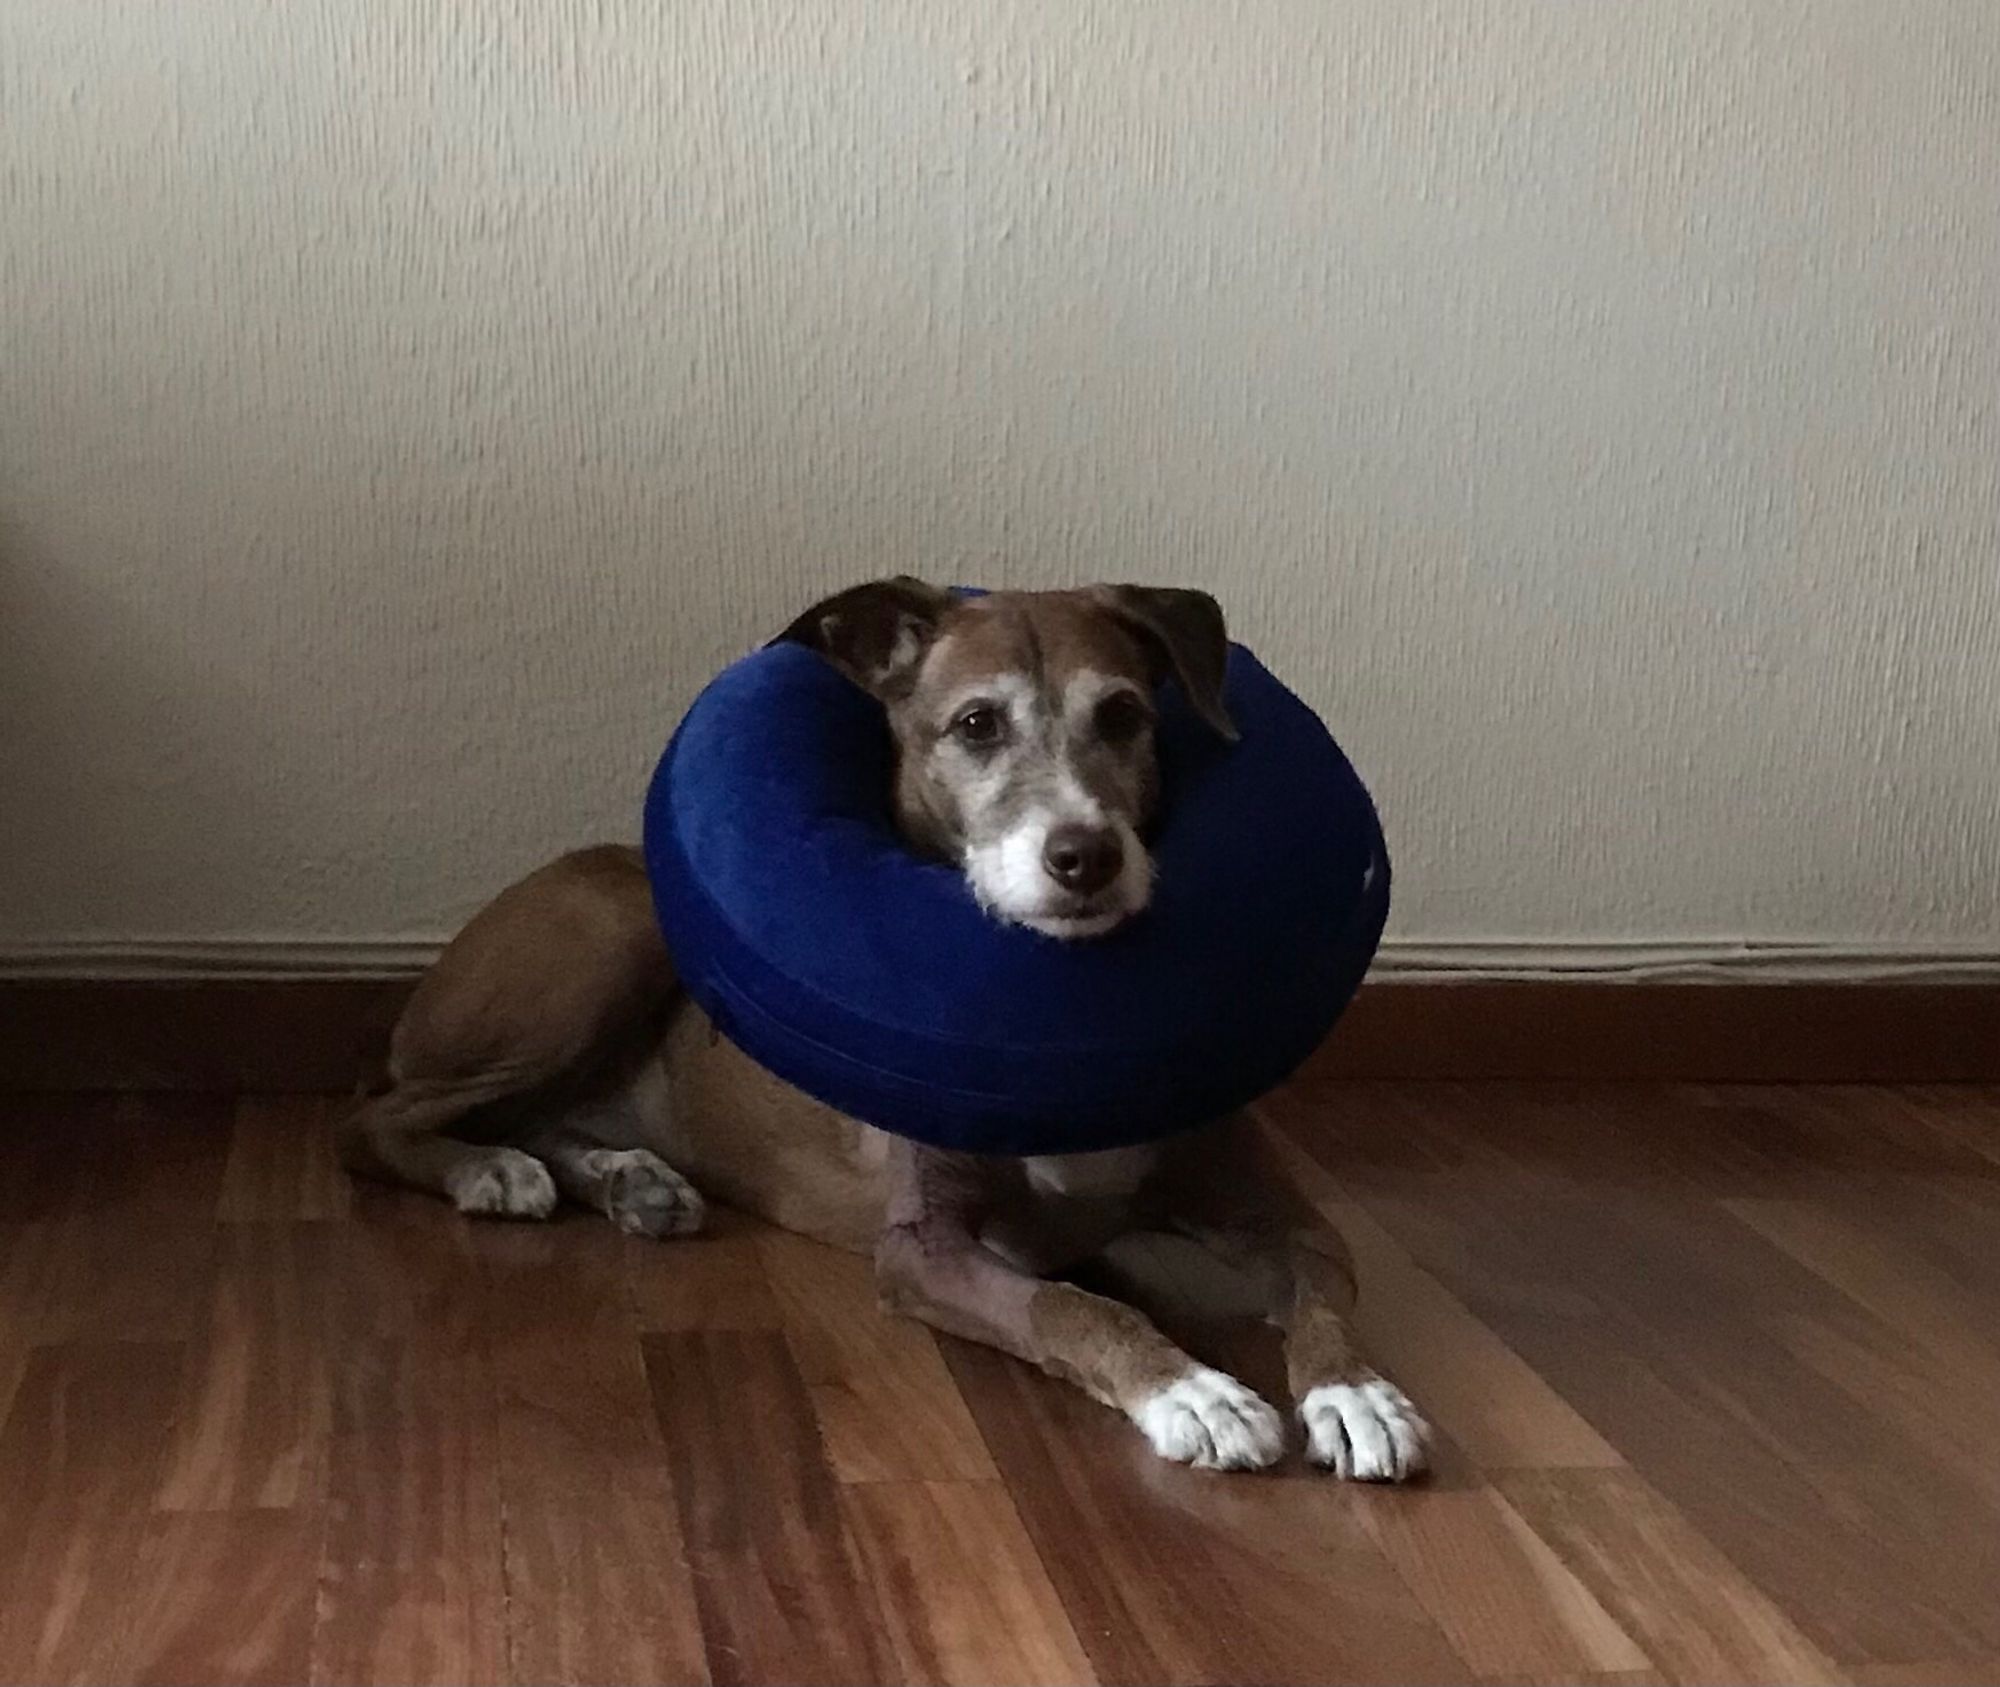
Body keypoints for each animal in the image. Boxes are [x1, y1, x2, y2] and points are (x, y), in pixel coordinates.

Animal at [348, 579, 1440, 1479]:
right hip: (612, 938)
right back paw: (489, 1171)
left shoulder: (1278, 1214)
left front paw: (1358, 1395)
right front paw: (1195, 1392)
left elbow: (1319, 1283)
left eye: (1124, 713)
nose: (1084, 855)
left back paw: (629, 1180)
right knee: (376, 1119)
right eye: (975, 723)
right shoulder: (921, 1250)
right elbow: (1075, 1302)